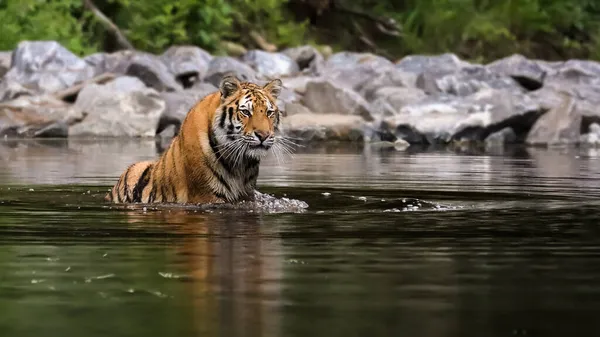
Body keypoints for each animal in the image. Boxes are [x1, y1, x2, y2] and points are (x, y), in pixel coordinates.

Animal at [105, 74, 286, 203]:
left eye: (269, 113)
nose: (263, 135)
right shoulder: (207, 195)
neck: (240, 163)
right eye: (246, 112)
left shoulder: (247, 195)